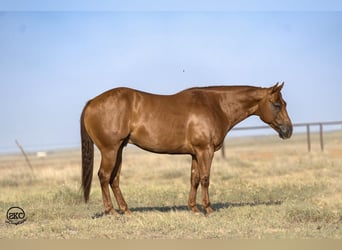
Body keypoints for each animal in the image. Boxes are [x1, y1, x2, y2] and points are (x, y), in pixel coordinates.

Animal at [79, 82, 292, 215]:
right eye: (277, 104)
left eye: (284, 103)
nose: (288, 130)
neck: (216, 106)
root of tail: (91, 102)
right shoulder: (205, 151)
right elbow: (205, 178)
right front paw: (208, 209)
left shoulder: (195, 153)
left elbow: (194, 179)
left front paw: (194, 209)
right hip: (110, 150)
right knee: (104, 176)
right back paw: (111, 212)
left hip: (119, 150)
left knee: (114, 179)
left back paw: (126, 210)